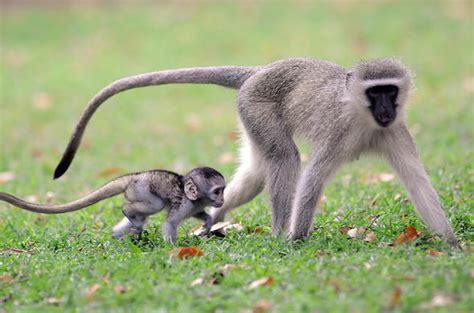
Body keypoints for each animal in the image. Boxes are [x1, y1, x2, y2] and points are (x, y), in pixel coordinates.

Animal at [0, 167, 226, 243]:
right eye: (217, 191)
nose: (222, 200)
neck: (194, 196)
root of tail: (133, 178)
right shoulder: (185, 203)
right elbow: (170, 223)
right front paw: (173, 249)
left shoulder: (194, 205)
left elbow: (202, 214)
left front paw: (207, 223)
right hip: (141, 189)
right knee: (152, 205)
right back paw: (128, 214)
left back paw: (120, 234)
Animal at [53, 58, 458, 244]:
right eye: (375, 92)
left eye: (391, 90)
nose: (386, 108)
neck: (364, 119)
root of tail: (259, 71)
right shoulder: (337, 131)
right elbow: (312, 178)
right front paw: (296, 240)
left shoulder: (397, 133)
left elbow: (417, 181)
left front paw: (451, 243)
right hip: (257, 108)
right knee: (285, 159)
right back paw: (278, 233)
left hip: (250, 119)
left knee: (256, 174)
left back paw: (213, 219)